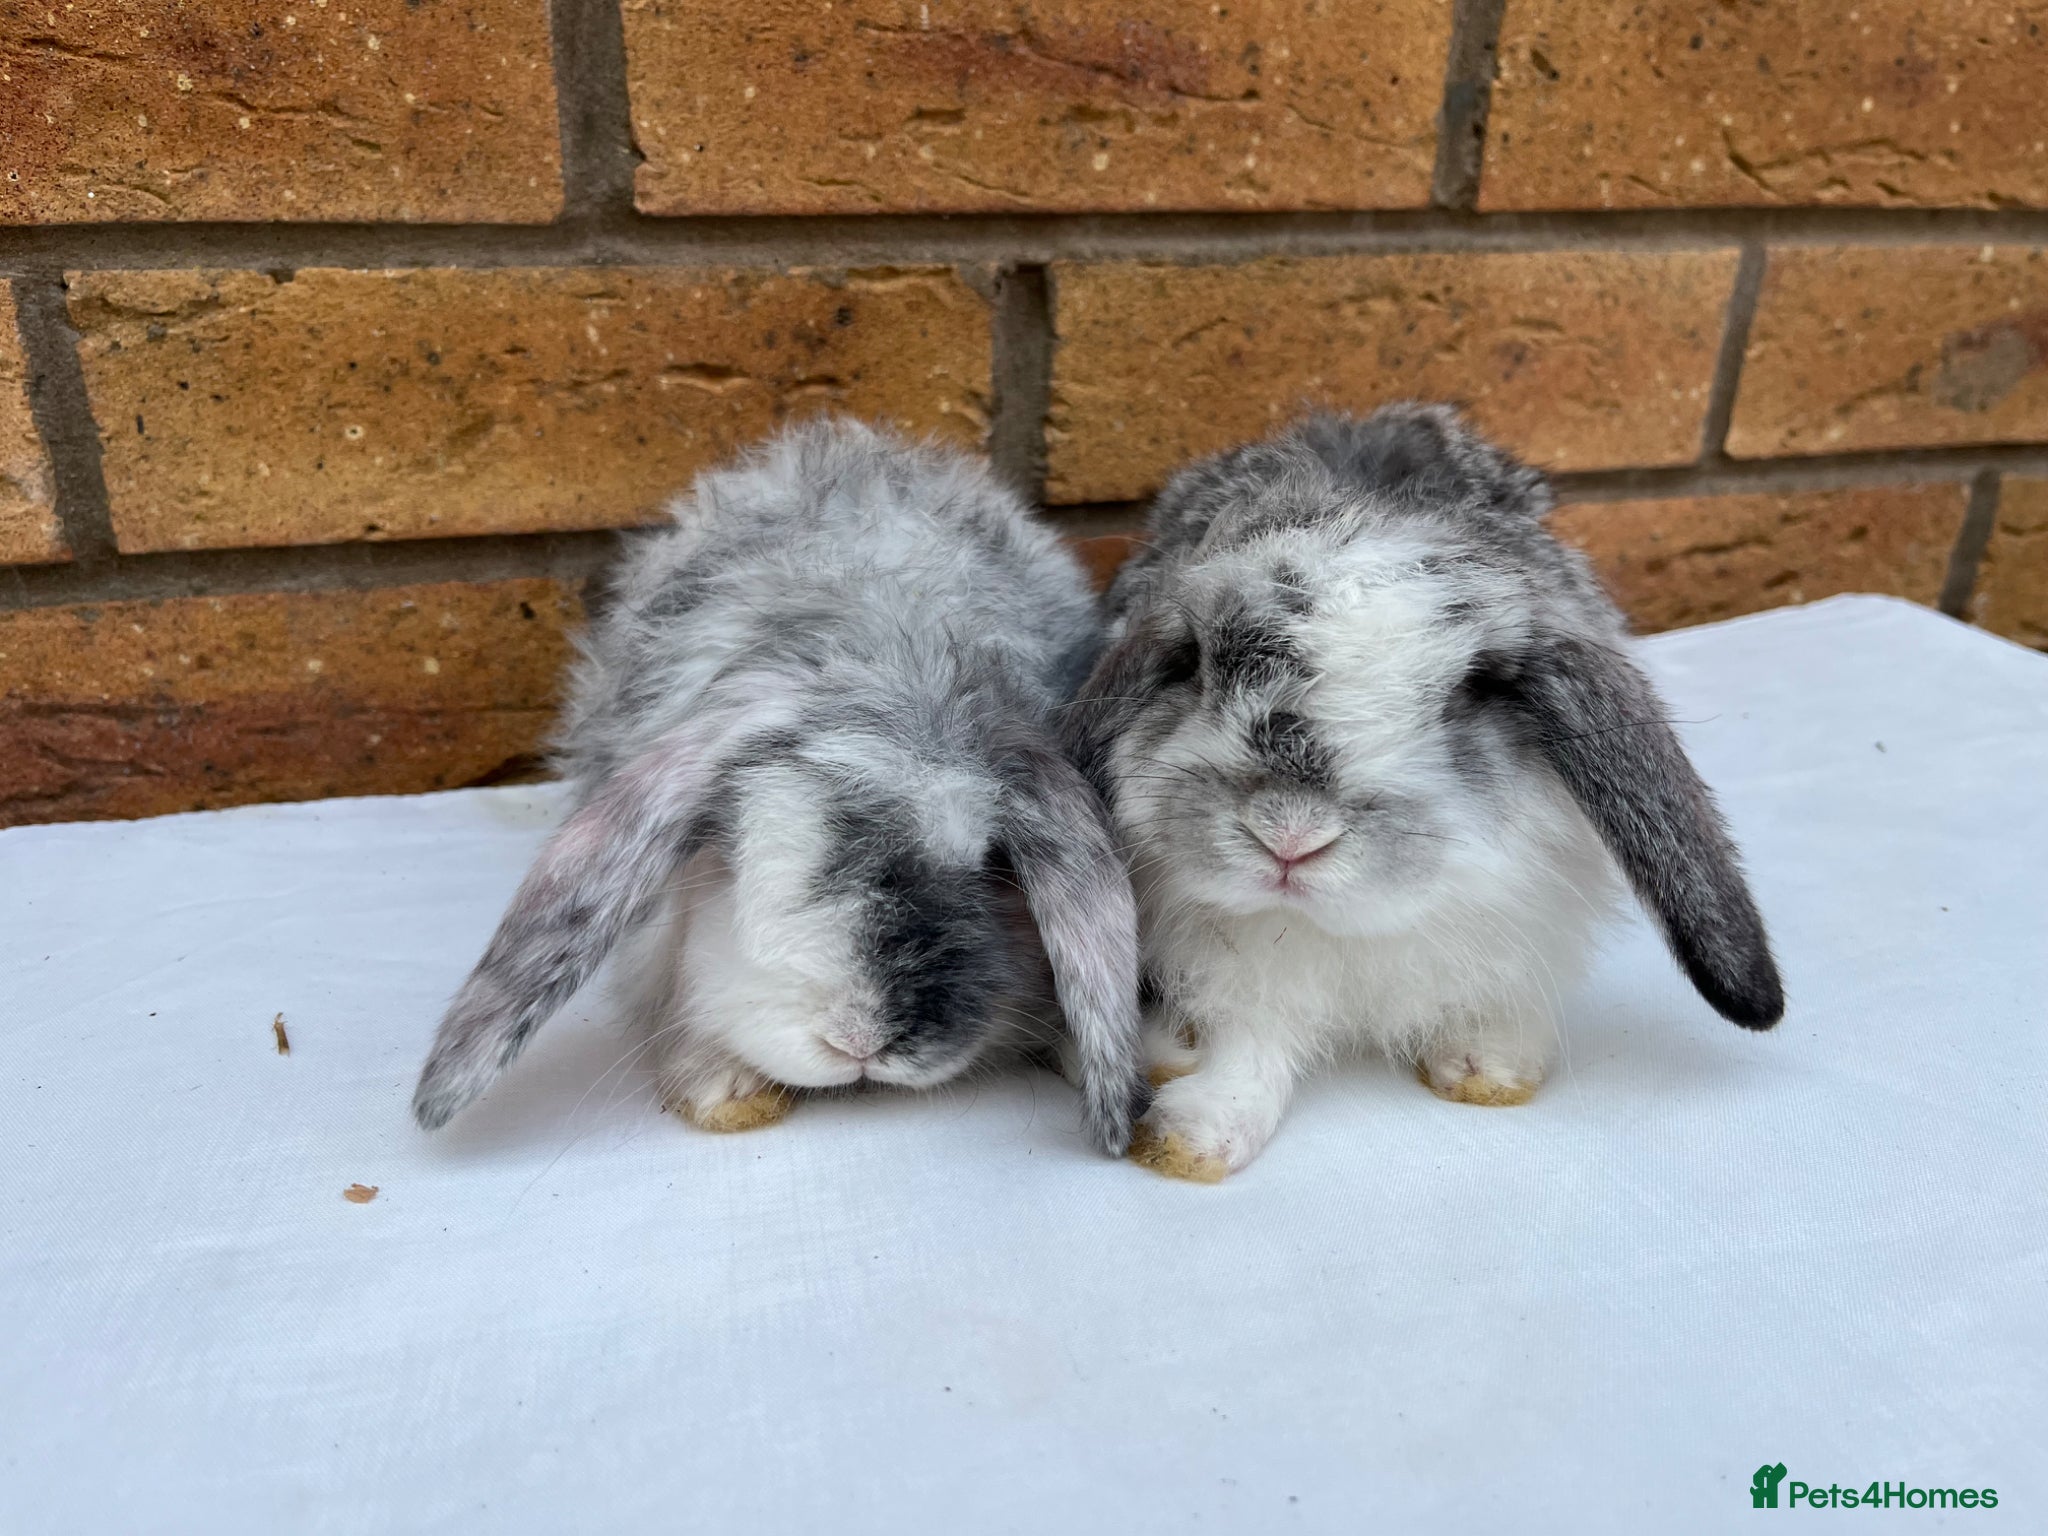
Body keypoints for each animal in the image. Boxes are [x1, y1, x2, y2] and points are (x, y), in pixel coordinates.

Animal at [1065, 404, 1784, 1181]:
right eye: (1194, 663)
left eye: (1469, 692)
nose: (1290, 835)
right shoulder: (1248, 975)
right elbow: (1252, 1049)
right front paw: (1191, 1141)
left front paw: (1488, 1068)